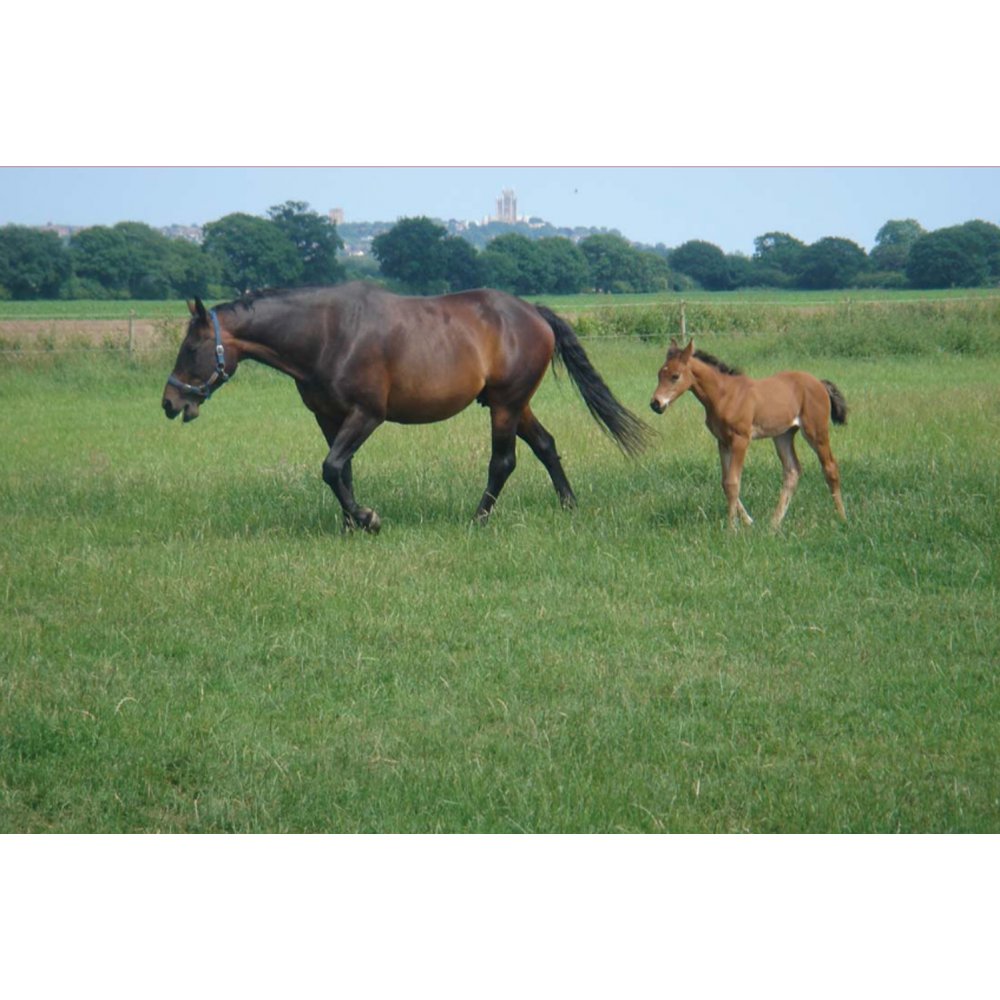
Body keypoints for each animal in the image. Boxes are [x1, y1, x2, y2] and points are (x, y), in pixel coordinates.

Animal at [162, 282, 649, 532]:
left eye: (191, 347)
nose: (169, 402)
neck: (327, 334)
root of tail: (532, 312)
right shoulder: (328, 417)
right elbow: (341, 470)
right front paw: (351, 523)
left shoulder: (367, 415)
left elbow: (331, 467)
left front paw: (367, 519)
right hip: (513, 404)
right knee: (546, 445)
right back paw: (568, 505)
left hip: (506, 405)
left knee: (503, 461)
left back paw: (478, 518)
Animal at [649, 339, 847, 528]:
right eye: (659, 374)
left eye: (675, 376)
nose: (656, 404)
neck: (725, 395)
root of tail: (820, 383)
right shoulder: (723, 441)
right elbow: (725, 482)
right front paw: (749, 521)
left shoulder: (740, 440)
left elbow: (732, 482)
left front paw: (732, 528)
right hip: (783, 435)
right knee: (792, 471)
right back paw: (774, 523)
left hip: (816, 432)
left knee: (830, 467)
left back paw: (842, 518)